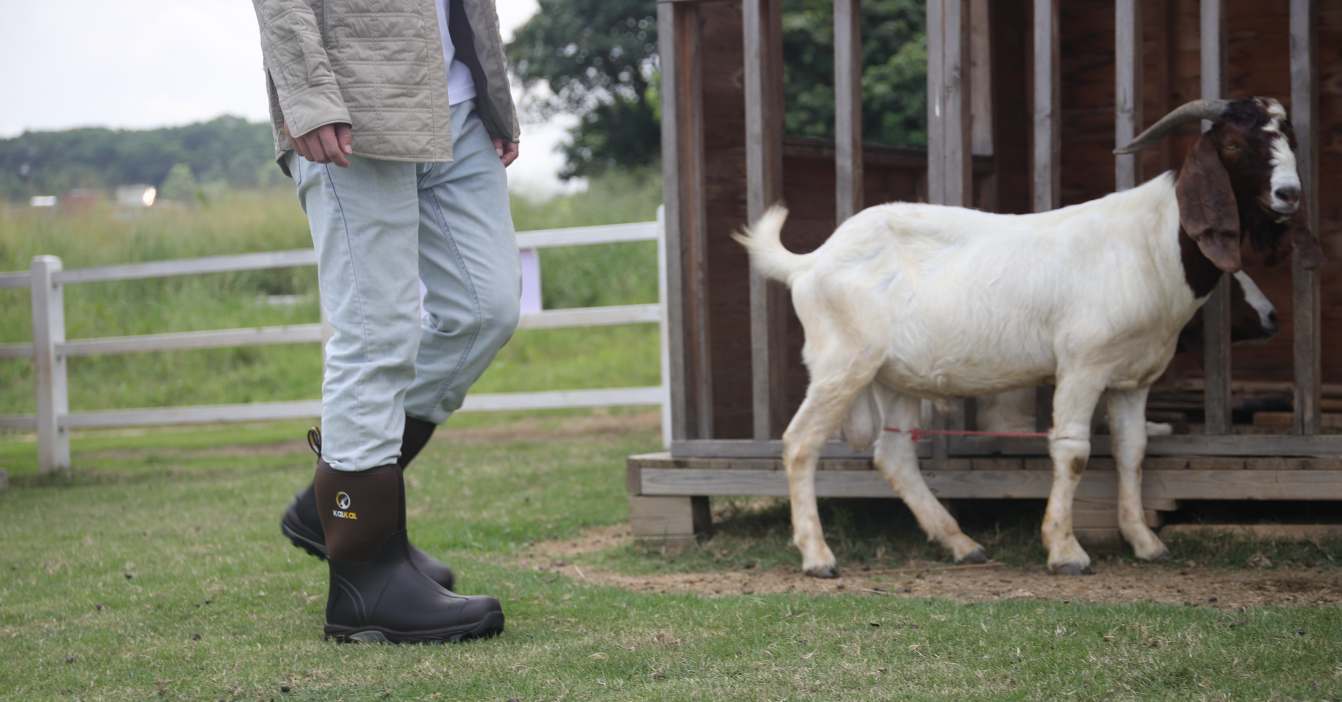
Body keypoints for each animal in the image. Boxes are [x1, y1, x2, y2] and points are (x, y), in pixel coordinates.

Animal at [735, 95, 1320, 574]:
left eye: (1289, 138)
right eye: (1234, 143)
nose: (1289, 193)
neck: (1149, 243)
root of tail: (809, 262)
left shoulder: (1132, 380)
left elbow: (1132, 451)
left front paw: (1145, 543)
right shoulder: (1082, 365)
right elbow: (1074, 450)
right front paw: (1065, 551)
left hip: (894, 376)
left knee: (893, 455)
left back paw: (961, 544)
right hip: (843, 362)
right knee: (800, 442)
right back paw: (818, 557)